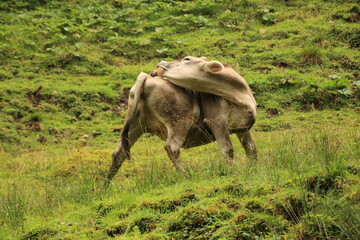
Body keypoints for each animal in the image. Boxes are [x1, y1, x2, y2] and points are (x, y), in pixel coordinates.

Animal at [107, 57, 256, 183]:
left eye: (186, 59)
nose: (161, 62)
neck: (240, 96)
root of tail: (146, 78)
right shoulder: (216, 121)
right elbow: (228, 150)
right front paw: (232, 171)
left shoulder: (242, 127)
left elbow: (251, 148)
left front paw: (253, 167)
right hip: (180, 121)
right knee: (171, 147)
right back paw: (186, 176)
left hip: (136, 124)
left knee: (118, 154)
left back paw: (105, 186)